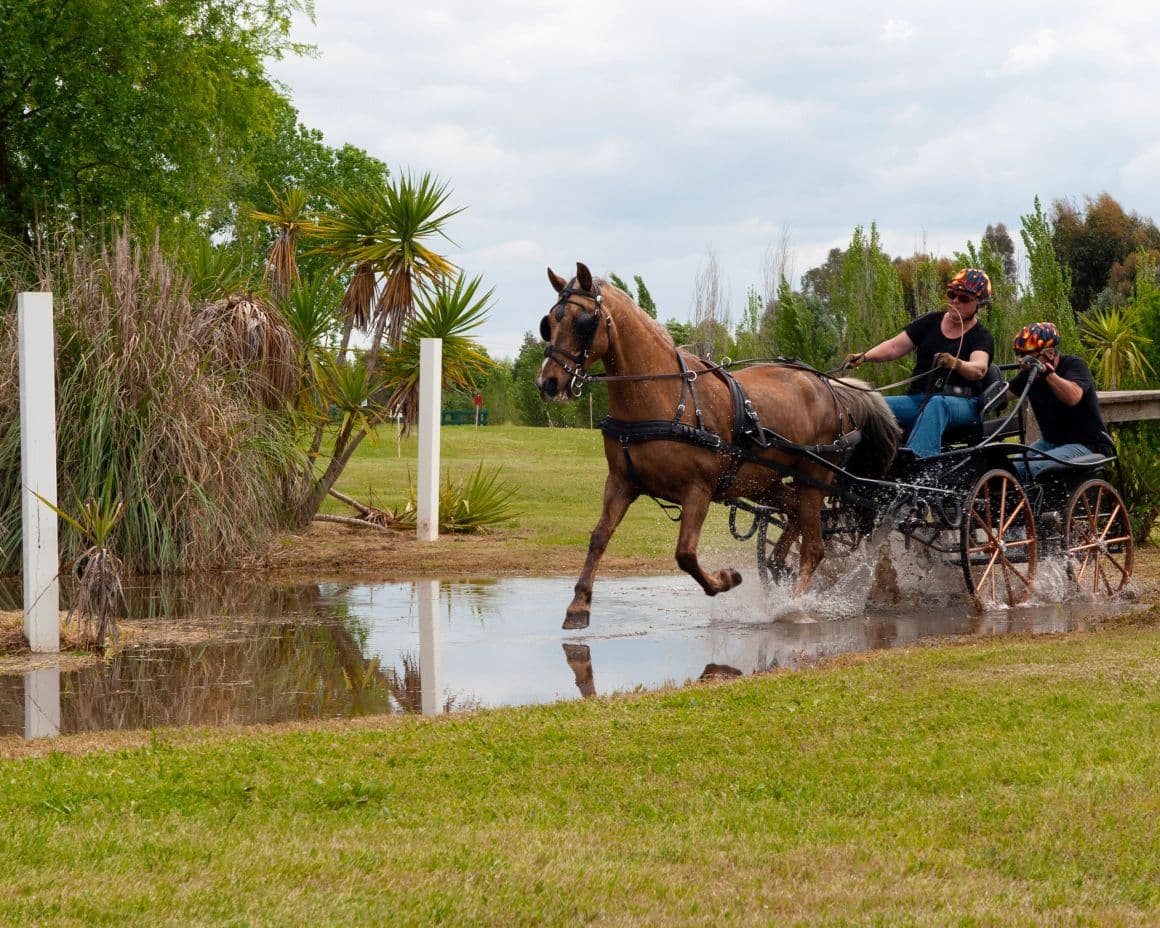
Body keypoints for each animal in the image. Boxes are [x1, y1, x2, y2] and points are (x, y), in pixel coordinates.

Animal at [536, 262, 901, 630]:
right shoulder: (621, 482)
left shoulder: (698, 490)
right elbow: (599, 537)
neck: (666, 398)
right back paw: (779, 568)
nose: (548, 382)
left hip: (815, 476)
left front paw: (725, 580)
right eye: (549, 322)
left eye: (582, 322)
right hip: (766, 481)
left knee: (814, 547)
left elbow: (685, 553)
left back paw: (794, 605)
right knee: (795, 513)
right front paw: (578, 605)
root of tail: (832, 388)